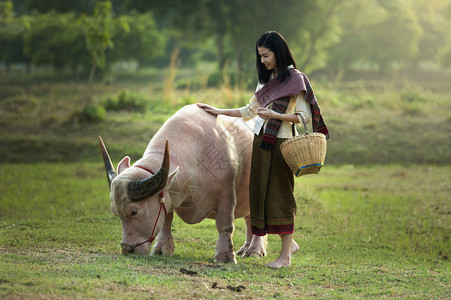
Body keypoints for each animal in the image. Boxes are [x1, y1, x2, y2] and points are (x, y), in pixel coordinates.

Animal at [97, 103, 264, 262]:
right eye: (115, 212)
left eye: (134, 212)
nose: (127, 249)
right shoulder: (168, 196)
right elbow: (165, 223)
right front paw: (162, 249)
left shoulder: (226, 196)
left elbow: (225, 226)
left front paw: (225, 257)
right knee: (250, 219)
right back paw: (246, 248)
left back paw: (254, 251)